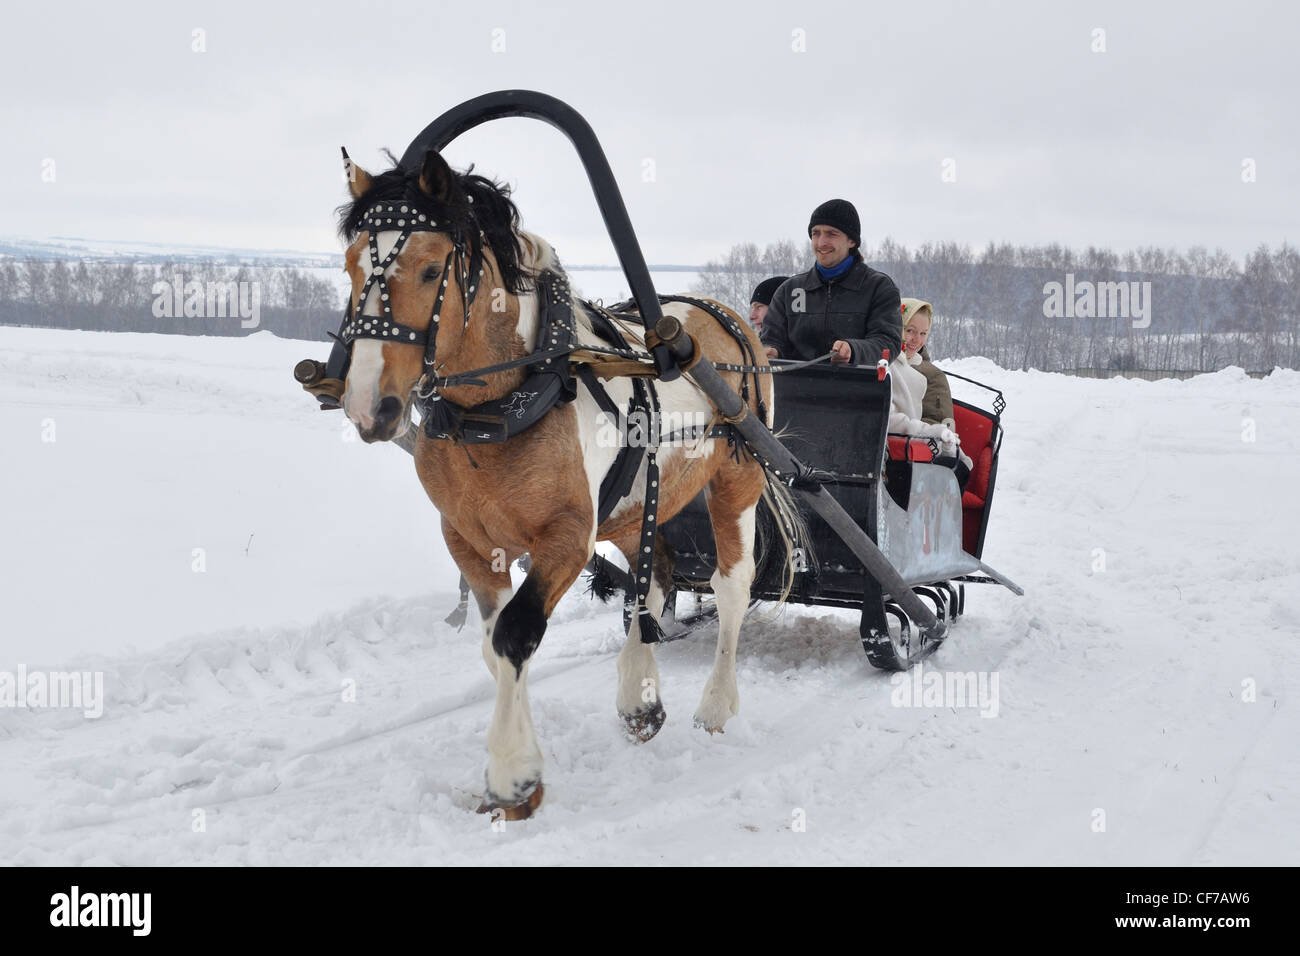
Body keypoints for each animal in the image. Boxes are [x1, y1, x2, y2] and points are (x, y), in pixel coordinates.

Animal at [334, 146, 801, 819]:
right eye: (349, 266)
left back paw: (715, 707)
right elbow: (494, 643)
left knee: (731, 587)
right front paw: (525, 772)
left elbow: (516, 632)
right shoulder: (468, 540)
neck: (501, 405)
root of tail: (725, 314)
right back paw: (639, 696)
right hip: (636, 505)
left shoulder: (566, 537)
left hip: (737, 476)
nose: (369, 405)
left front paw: (512, 777)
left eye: (428, 270)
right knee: (653, 580)